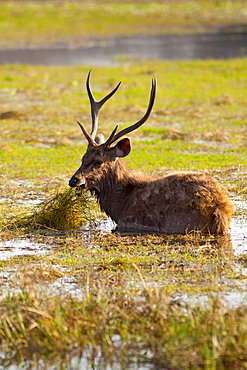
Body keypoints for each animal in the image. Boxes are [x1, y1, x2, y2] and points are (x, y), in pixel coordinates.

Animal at [68, 71, 233, 234]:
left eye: (98, 162)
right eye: (83, 158)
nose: (73, 180)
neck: (120, 204)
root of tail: (220, 209)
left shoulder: (128, 221)